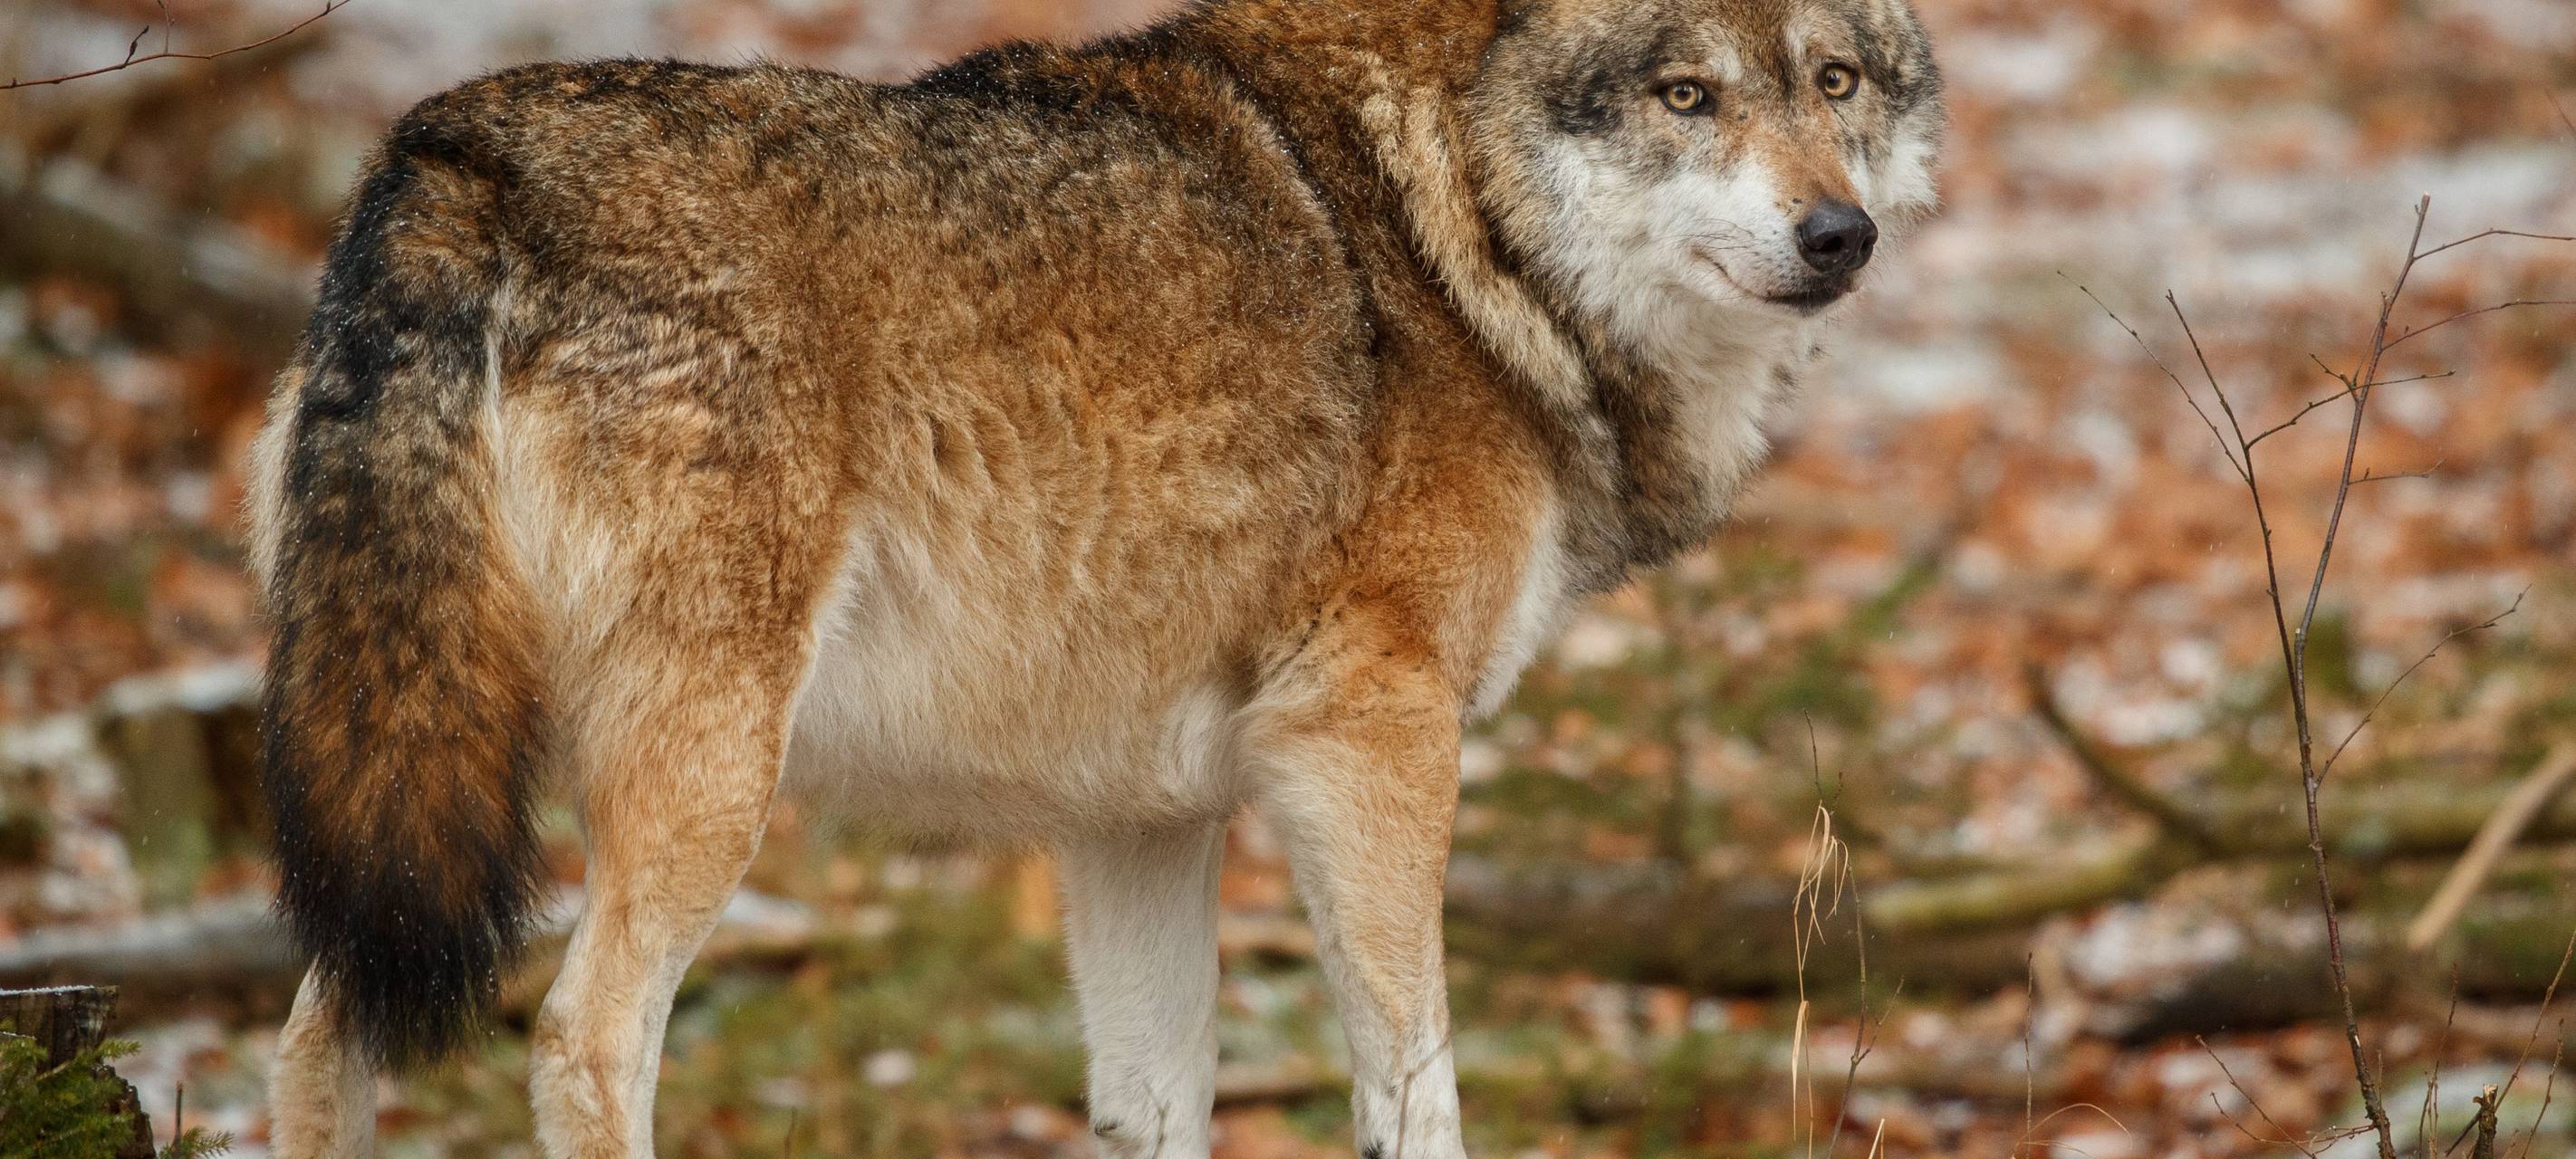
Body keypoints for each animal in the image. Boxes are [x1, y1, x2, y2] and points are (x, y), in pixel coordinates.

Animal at [247, 0, 1942, 1153]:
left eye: (1834, 81)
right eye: (1684, 94)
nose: (1837, 234)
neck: (1457, 220)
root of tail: (455, 151)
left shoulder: (1137, 820)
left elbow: (1152, 1102)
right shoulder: (1368, 740)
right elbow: (1416, 1089)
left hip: (425, 767)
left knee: (323, 1033)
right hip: (696, 777)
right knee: (575, 1044)